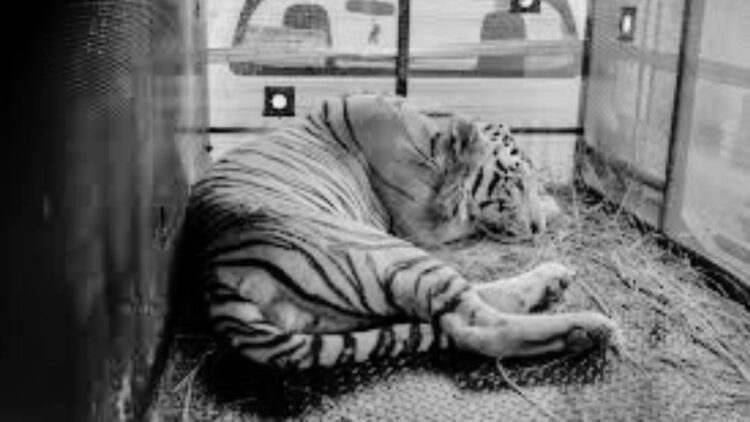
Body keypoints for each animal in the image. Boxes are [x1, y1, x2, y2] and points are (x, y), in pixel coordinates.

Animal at [186, 93, 619, 370]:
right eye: (513, 182)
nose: (535, 228)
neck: (433, 142)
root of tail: (217, 274)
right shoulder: (420, 225)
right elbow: (469, 218)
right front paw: (550, 208)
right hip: (381, 247)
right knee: (477, 327)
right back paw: (590, 328)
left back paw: (553, 281)